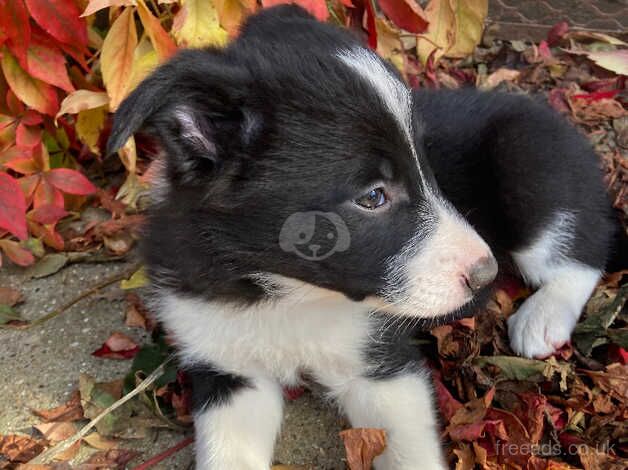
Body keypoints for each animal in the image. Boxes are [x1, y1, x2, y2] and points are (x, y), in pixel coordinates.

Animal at [108, 4, 612, 470]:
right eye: (373, 196)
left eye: (428, 164)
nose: (485, 275)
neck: (284, 295)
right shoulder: (227, 369)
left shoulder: (384, 364)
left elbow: (411, 454)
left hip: (528, 163)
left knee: (583, 250)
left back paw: (542, 318)